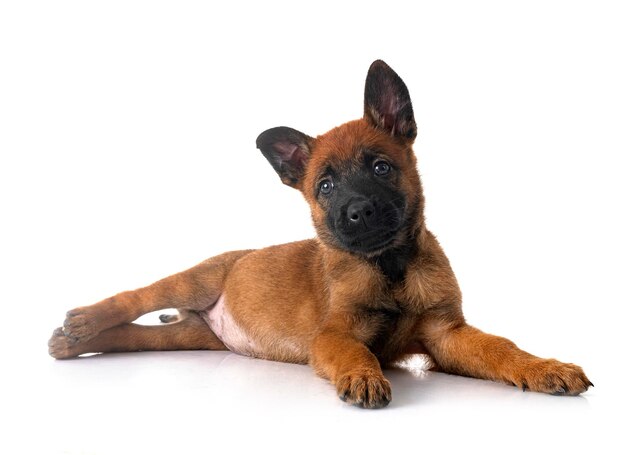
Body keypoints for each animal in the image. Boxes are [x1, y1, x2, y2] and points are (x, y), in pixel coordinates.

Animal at [48, 59, 588, 410]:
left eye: (381, 166)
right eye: (325, 186)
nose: (359, 211)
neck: (389, 268)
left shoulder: (446, 335)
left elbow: (503, 348)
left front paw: (545, 367)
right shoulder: (334, 334)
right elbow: (354, 349)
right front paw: (362, 375)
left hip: (189, 338)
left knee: (132, 337)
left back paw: (70, 344)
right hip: (194, 282)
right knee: (134, 299)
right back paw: (80, 324)